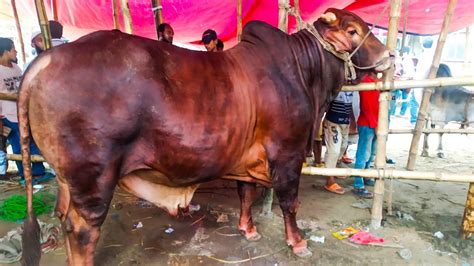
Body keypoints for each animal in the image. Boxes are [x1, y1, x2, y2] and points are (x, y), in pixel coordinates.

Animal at [19, 7, 392, 264]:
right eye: (353, 30)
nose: (390, 55)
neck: (305, 72)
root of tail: (47, 59)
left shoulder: (246, 156)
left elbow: (246, 192)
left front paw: (248, 229)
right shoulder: (288, 154)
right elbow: (289, 202)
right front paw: (297, 243)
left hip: (70, 181)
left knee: (63, 216)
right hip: (94, 179)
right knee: (82, 231)